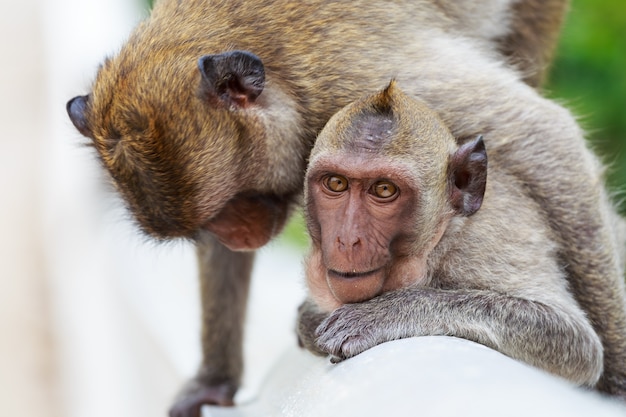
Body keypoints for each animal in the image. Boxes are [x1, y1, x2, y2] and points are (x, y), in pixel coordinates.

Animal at [298, 79, 608, 388]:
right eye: (336, 183)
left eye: (384, 189)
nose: (348, 239)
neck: (440, 239)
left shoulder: (484, 248)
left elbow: (577, 341)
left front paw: (382, 314)